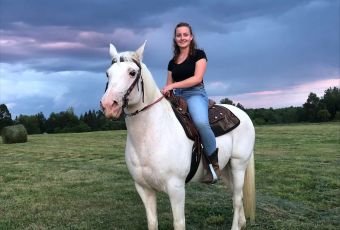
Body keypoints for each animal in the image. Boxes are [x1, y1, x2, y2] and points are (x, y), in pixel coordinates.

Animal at [101, 41, 255, 230]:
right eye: (108, 74)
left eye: (132, 72)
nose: (109, 105)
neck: (151, 135)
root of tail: (242, 114)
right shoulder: (144, 189)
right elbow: (152, 222)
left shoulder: (176, 188)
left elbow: (179, 223)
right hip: (226, 168)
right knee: (235, 195)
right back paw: (242, 223)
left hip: (239, 164)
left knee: (237, 199)